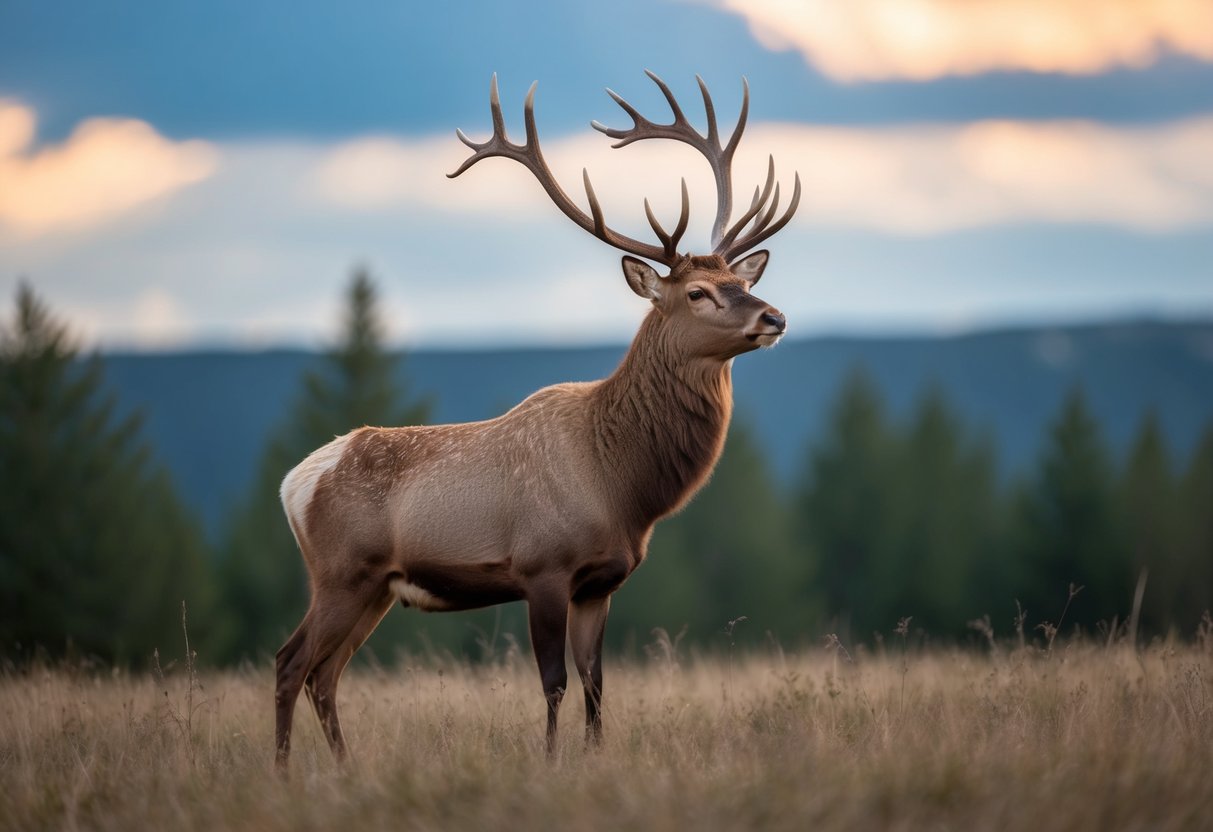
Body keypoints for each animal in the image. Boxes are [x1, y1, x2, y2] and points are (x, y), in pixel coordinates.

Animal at [274, 71, 800, 768]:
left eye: (739, 281)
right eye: (697, 292)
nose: (774, 316)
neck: (621, 486)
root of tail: (295, 483)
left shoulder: (601, 583)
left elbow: (596, 683)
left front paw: (595, 757)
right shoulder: (541, 566)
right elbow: (553, 681)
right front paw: (550, 763)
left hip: (375, 587)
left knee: (323, 674)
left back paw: (343, 768)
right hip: (339, 572)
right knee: (291, 663)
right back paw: (283, 772)